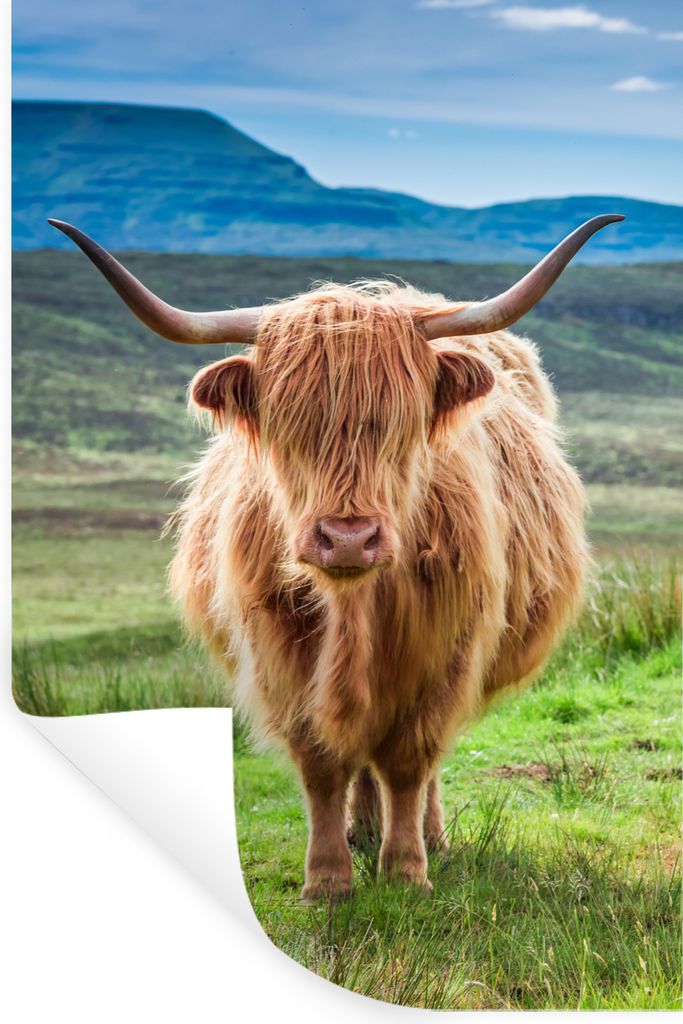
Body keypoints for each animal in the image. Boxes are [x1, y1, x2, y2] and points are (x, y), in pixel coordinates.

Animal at [50, 214, 623, 902]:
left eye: (402, 425)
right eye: (288, 426)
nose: (348, 538)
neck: (354, 606)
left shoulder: (445, 650)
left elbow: (409, 758)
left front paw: (406, 871)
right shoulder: (279, 652)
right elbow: (322, 763)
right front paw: (327, 879)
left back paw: (426, 836)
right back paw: (362, 830)